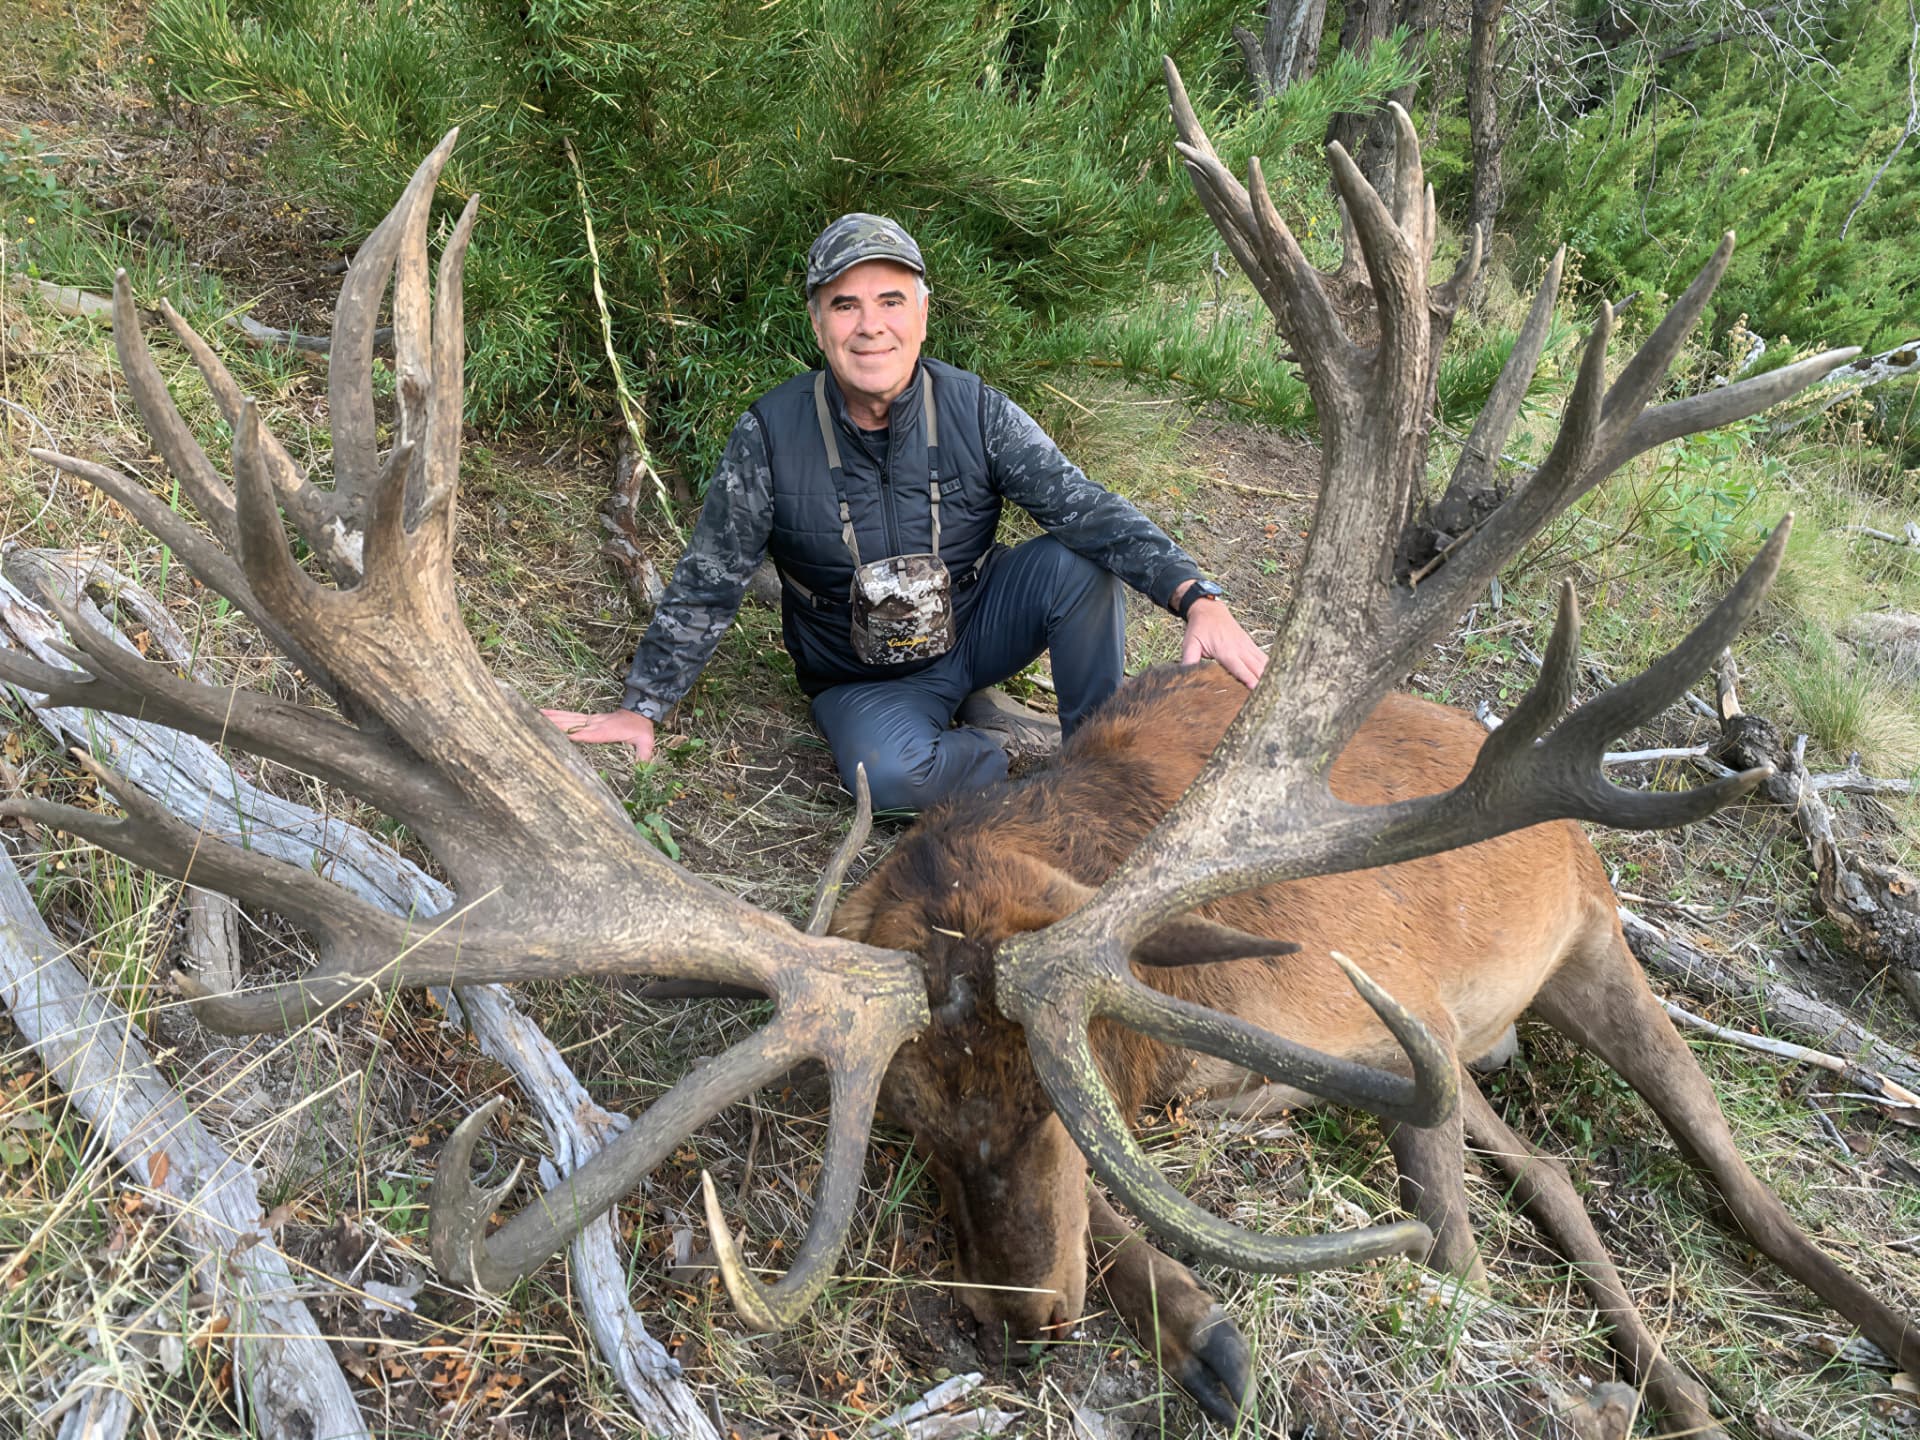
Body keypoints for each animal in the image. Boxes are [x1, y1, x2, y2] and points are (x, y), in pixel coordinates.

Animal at [1, 61, 1909, 1436]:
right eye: (910, 1130)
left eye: (1060, 1112)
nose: (1022, 1319)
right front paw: (1199, 1322)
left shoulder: (1343, 1018)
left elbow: (1410, 1188)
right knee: (1552, 1169)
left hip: (1596, 943)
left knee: (1731, 1188)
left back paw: (1803, 1333)